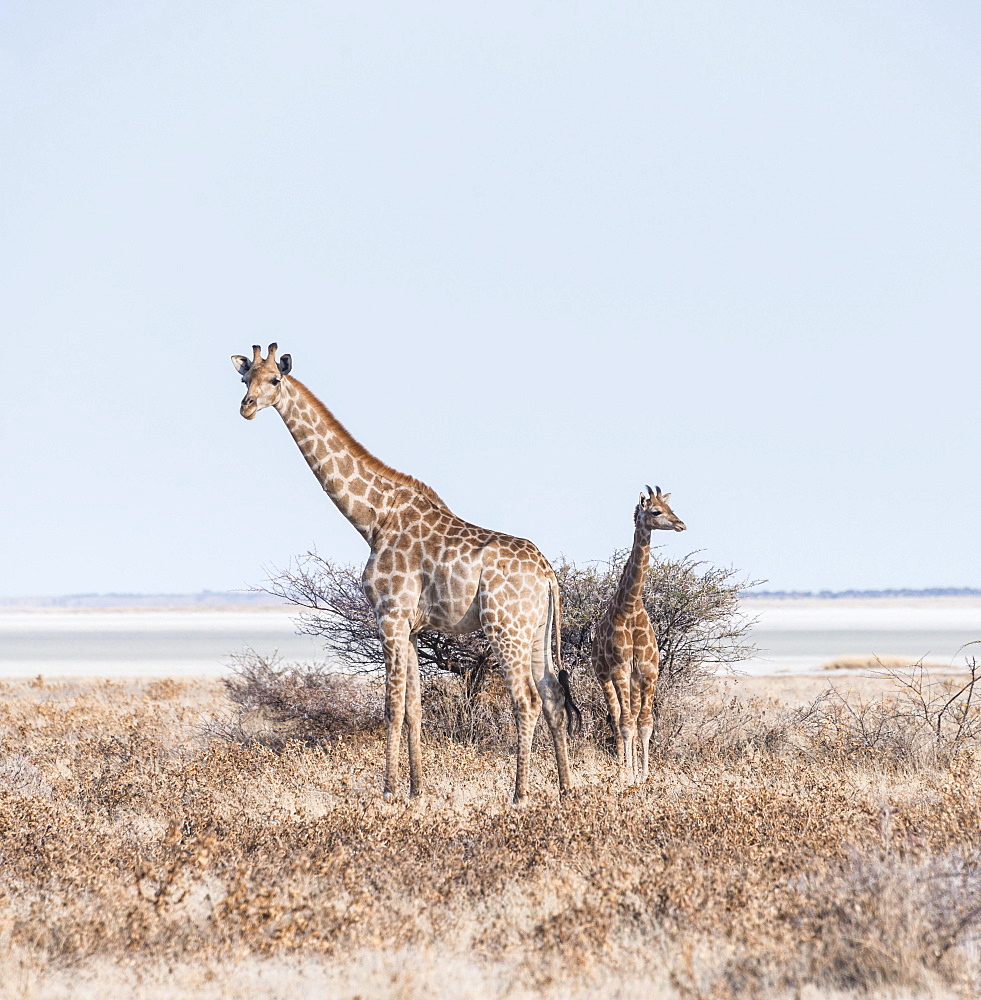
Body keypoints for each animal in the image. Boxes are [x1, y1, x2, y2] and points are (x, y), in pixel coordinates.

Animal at [233, 348, 580, 800]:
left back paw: (520, 795)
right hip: (536, 629)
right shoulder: (412, 627)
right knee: (553, 697)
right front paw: (416, 790)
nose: (246, 407)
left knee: (527, 701)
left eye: (274, 379)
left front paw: (389, 790)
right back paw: (566, 790)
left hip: (506, 627)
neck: (373, 518)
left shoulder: (390, 615)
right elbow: (415, 707)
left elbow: (392, 707)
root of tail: (548, 573)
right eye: (245, 380)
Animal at [592, 484, 684, 780]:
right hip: (604, 674)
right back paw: (622, 766)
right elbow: (626, 722)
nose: (681, 524)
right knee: (617, 716)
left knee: (630, 714)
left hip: (632, 679)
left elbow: (645, 722)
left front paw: (644, 774)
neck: (630, 606)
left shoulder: (648, 671)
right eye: (655, 511)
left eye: (670, 507)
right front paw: (629, 774)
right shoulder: (620, 669)